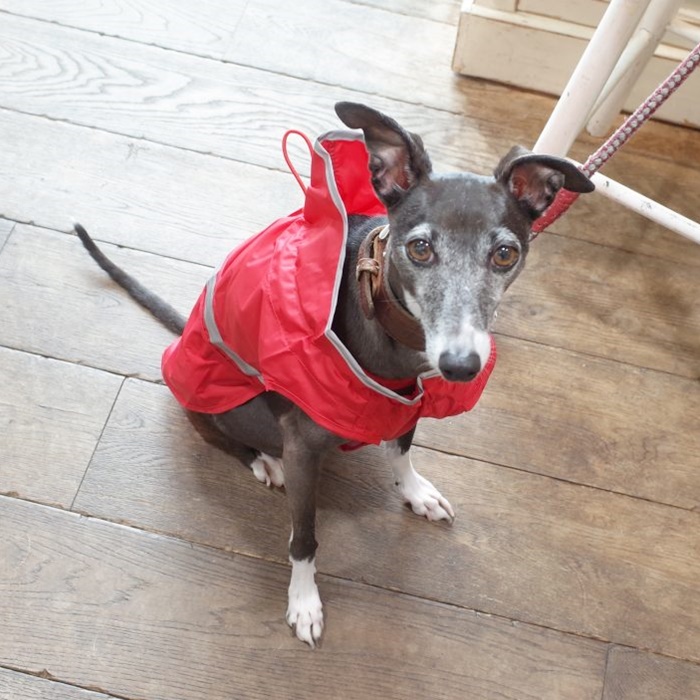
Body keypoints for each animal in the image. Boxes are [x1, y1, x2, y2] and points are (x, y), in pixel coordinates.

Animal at [75, 102, 593, 647]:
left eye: (505, 253)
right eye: (420, 248)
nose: (460, 366)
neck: (393, 331)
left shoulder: (405, 403)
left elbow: (401, 450)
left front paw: (415, 493)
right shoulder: (304, 450)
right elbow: (304, 537)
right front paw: (304, 600)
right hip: (211, 402)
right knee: (220, 437)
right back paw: (262, 462)